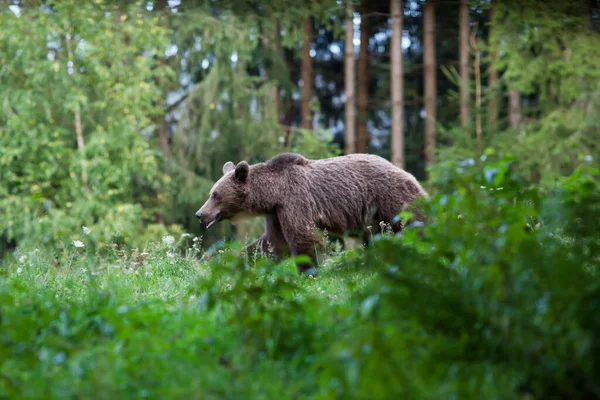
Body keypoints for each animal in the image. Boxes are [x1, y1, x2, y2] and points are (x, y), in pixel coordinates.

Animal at [196, 152, 426, 274]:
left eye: (215, 195)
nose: (200, 214)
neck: (273, 193)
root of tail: (405, 172)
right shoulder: (276, 213)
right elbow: (271, 243)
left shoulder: (295, 201)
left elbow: (302, 238)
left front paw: (309, 270)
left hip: (390, 199)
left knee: (415, 221)